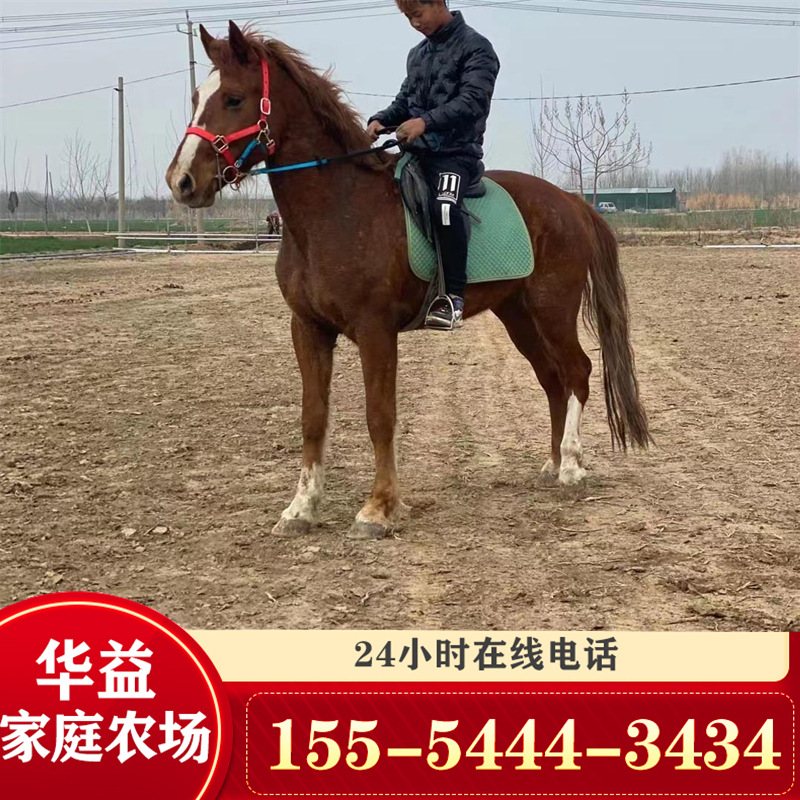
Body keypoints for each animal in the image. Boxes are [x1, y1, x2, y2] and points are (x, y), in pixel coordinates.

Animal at [166, 21, 651, 539]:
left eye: (234, 99)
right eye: (196, 97)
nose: (182, 181)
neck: (335, 210)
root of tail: (571, 202)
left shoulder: (375, 331)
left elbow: (380, 416)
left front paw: (378, 508)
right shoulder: (308, 329)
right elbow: (313, 417)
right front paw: (301, 508)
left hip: (552, 308)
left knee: (577, 371)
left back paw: (573, 467)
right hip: (518, 315)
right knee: (552, 379)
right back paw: (553, 461)